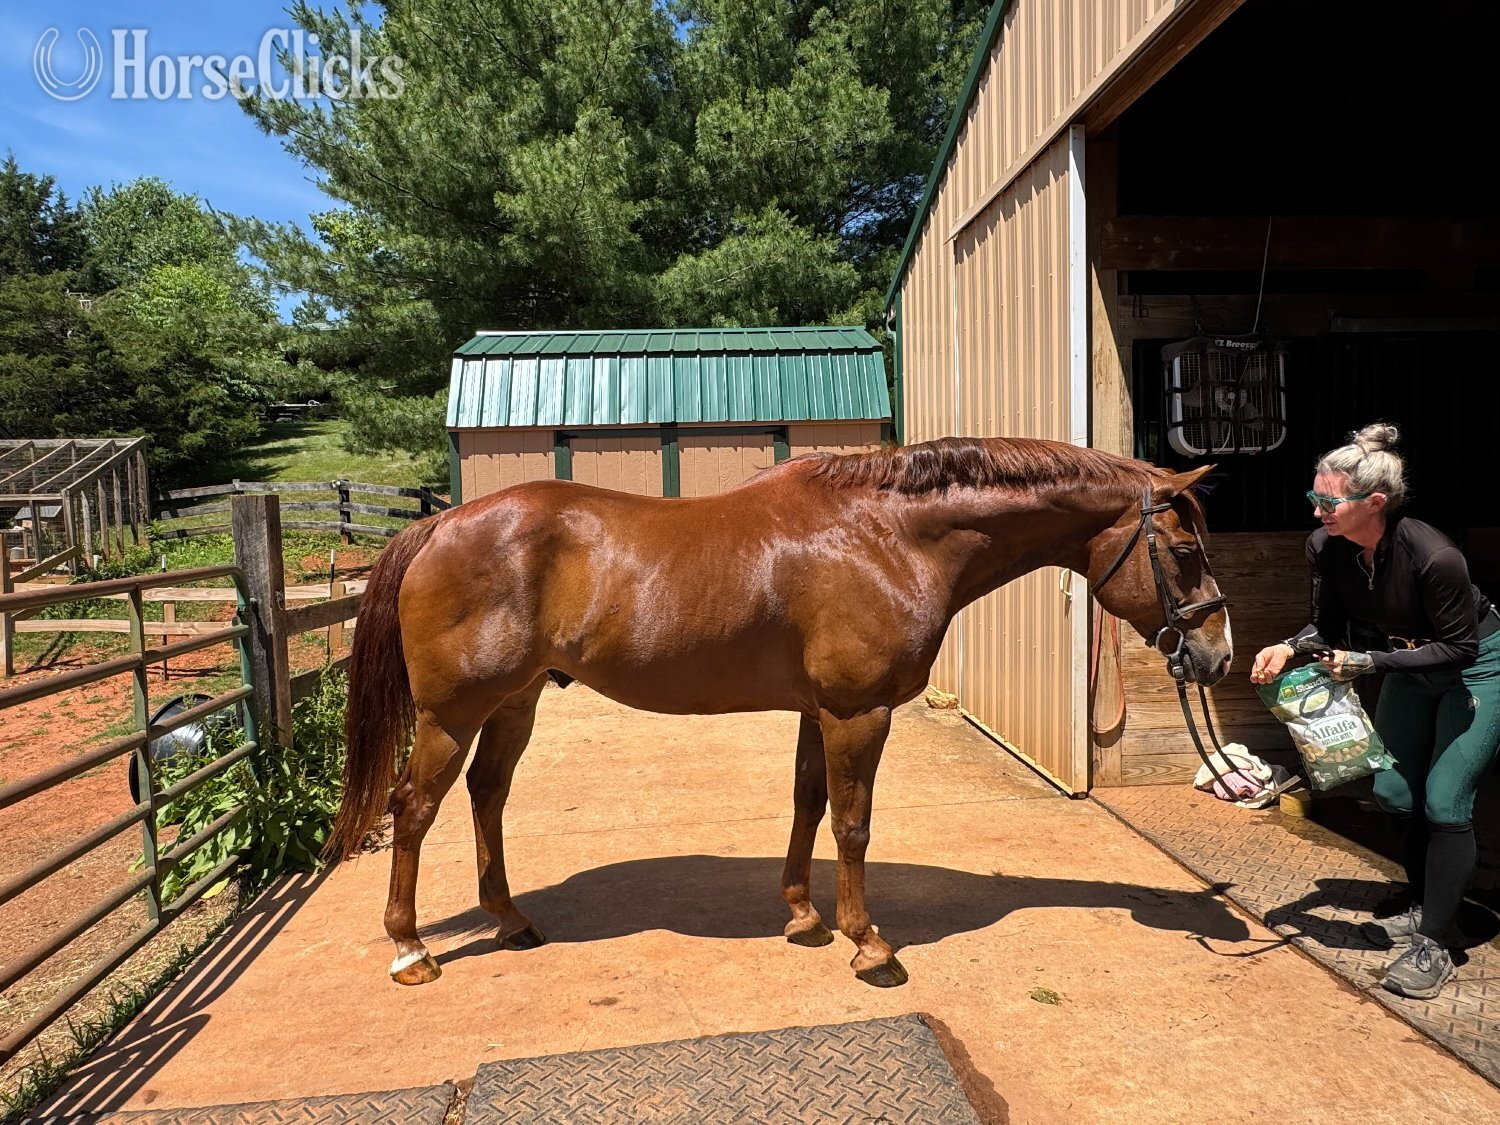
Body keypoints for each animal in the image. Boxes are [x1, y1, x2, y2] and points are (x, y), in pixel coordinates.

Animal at [329, 436, 1232, 988]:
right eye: (1186, 551)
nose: (1217, 654)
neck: (890, 534)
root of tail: (441, 522)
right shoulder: (858, 712)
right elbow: (853, 825)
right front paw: (869, 945)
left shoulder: (817, 709)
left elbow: (808, 802)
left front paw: (803, 915)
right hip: (452, 714)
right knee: (415, 808)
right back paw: (410, 948)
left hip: (514, 703)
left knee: (487, 794)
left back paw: (511, 919)